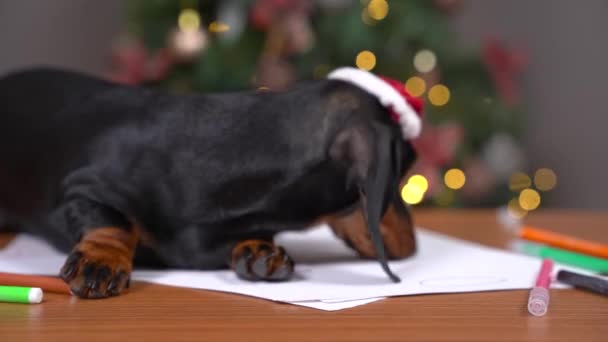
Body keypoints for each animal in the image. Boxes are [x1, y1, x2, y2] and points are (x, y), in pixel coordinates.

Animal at [0, 65, 420, 298]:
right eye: (404, 170)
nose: (415, 244)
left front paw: (259, 250)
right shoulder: (78, 190)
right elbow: (114, 224)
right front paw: (101, 260)